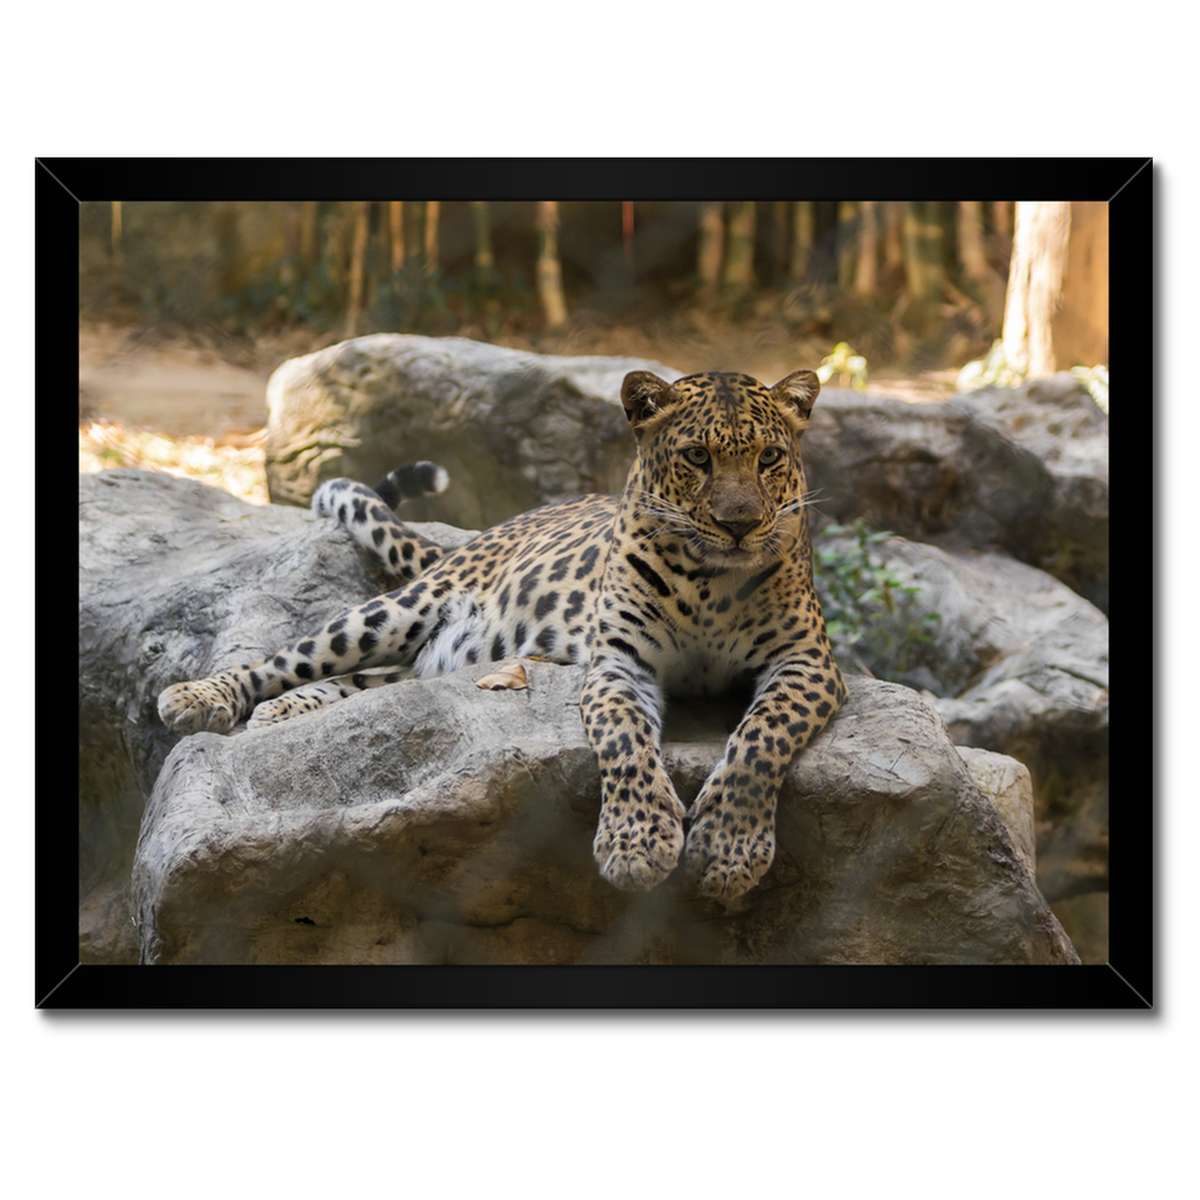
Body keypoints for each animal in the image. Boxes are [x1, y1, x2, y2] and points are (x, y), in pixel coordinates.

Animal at [157, 368, 846, 903]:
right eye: (697, 457)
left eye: (769, 459)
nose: (740, 525)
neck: (710, 581)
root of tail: (488, 532)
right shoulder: (618, 665)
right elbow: (625, 742)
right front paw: (637, 845)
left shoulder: (807, 663)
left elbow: (761, 741)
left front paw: (729, 850)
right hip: (395, 611)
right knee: (294, 656)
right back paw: (202, 697)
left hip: (437, 658)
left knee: (371, 681)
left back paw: (284, 712)